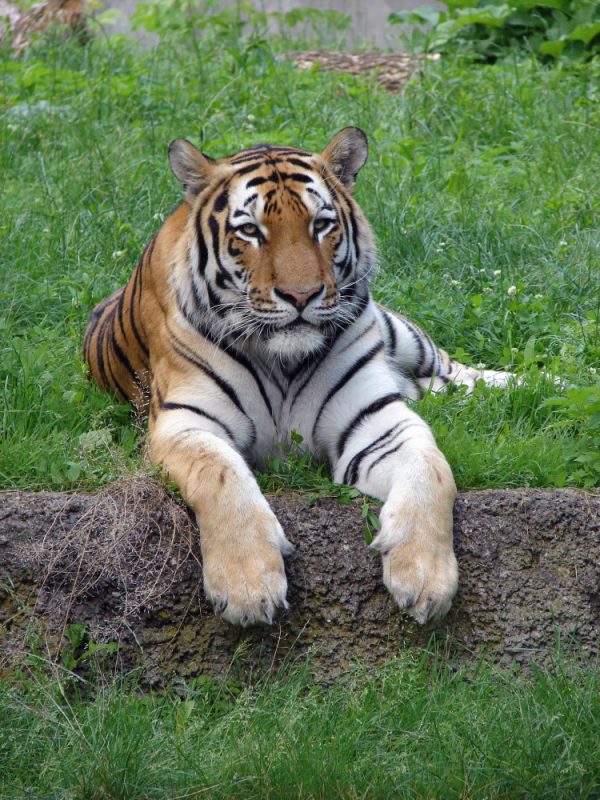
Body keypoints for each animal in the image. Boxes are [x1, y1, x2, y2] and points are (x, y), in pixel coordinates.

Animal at [84, 130, 512, 624]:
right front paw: (248, 585)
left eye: (321, 225)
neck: (282, 362)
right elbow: (221, 476)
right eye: (250, 231)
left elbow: (432, 470)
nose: (301, 295)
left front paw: (425, 575)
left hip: (401, 334)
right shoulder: (185, 423)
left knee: (454, 368)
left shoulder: (378, 420)